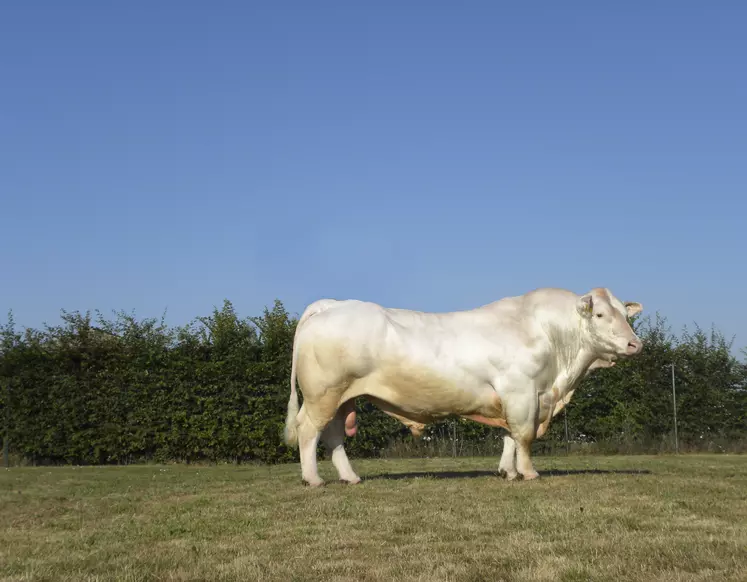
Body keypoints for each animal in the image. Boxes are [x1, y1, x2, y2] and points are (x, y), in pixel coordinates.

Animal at [282, 288, 644, 488]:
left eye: (626, 316)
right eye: (599, 314)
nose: (634, 344)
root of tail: (332, 304)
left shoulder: (517, 397)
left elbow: (509, 436)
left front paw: (507, 472)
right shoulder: (522, 392)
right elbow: (523, 436)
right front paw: (528, 473)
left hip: (341, 397)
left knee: (333, 436)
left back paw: (350, 476)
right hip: (322, 394)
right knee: (308, 431)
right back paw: (313, 479)